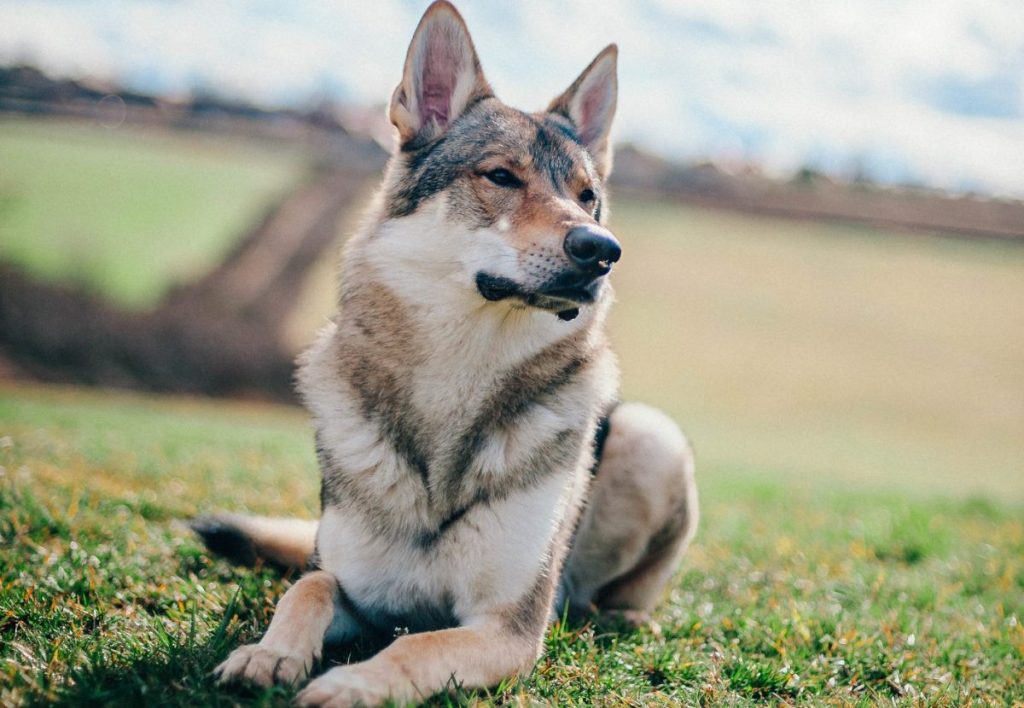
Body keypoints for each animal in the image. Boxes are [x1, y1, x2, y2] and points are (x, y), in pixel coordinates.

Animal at [193, 2, 696, 704]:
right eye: (501, 177)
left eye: (587, 196)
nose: (602, 249)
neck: (457, 382)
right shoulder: (357, 591)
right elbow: (307, 587)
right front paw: (268, 656)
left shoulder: (509, 627)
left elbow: (417, 646)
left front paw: (351, 685)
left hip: (654, 437)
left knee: (627, 593)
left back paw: (619, 616)